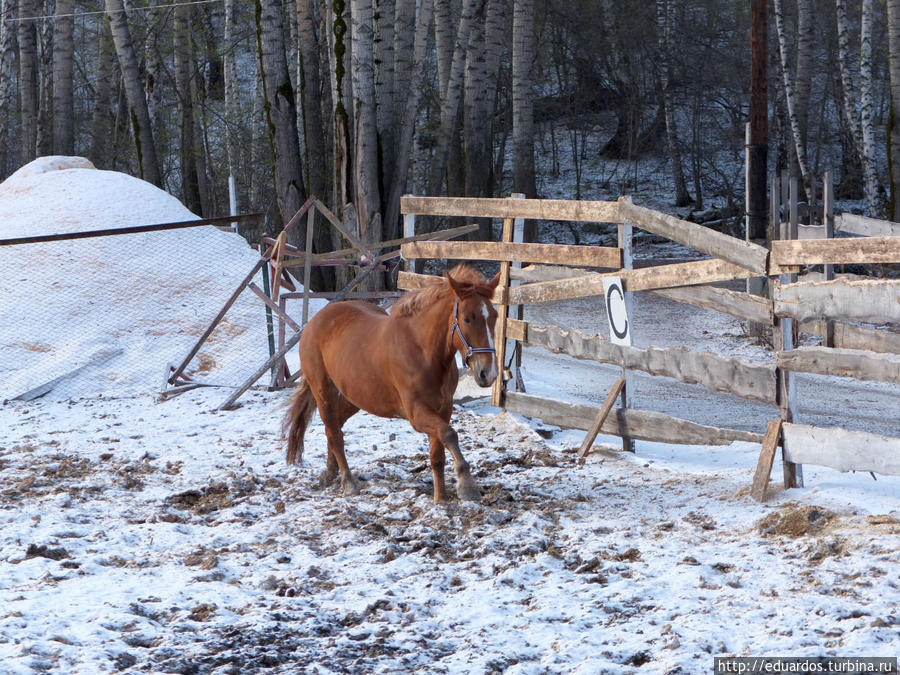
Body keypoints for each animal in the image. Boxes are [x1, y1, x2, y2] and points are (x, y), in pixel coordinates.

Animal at [284, 264, 500, 502]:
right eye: (468, 318)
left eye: (495, 316)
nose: (488, 373)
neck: (422, 351)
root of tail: (314, 322)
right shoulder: (416, 413)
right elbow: (449, 434)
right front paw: (466, 485)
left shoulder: (443, 408)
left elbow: (438, 454)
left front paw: (440, 498)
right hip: (323, 390)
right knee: (334, 431)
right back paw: (348, 482)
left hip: (357, 396)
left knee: (336, 425)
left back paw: (330, 473)